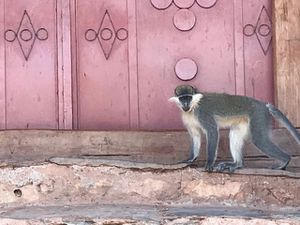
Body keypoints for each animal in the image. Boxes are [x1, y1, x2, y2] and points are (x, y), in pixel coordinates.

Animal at [169, 84, 300, 172]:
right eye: (182, 98)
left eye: (188, 97)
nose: (185, 104)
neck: (193, 107)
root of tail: (263, 104)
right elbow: (196, 135)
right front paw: (190, 159)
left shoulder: (203, 113)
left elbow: (212, 131)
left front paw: (209, 163)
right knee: (235, 133)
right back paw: (237, 164)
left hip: (258, 115)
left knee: (259, 140)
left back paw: (285, 161)